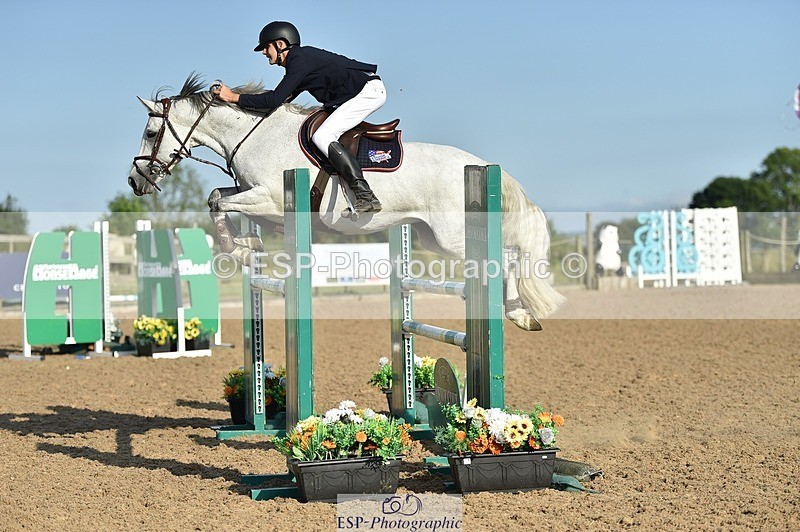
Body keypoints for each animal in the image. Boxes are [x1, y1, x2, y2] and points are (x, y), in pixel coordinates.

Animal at [127, 74, 564, 331]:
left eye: (149, 133)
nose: (135, 181)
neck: (254, 134)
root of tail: (480, 165)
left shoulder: (271, 200)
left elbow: (219, 202)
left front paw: (237, 249)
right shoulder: (252, 195)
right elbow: (217, 197)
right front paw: (245, 247)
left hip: (453, 237)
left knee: (506, 256)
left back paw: (519, 313)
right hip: (430, 237)